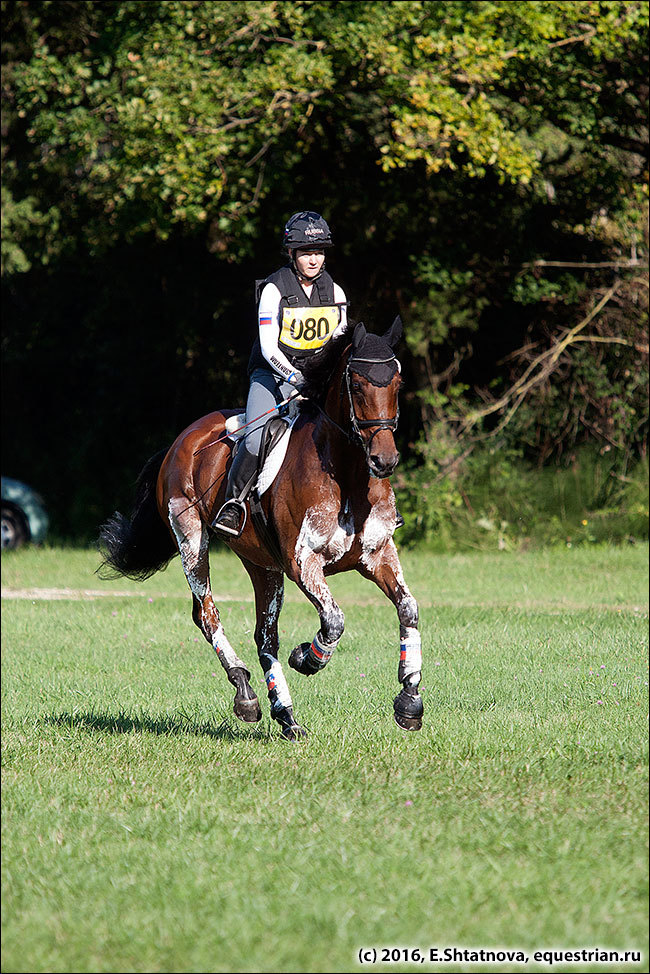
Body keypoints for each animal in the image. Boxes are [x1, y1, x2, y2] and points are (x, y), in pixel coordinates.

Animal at [96, 320, 420, 740]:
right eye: (357, 383)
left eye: (397, 382)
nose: (385, 460)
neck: (346, 475)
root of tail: (182, 439)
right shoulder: (303, 563)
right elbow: (334, 620)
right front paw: (307, 658)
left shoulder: (377, 556)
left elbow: (407, 609)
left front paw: (410, 701)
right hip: (192, 539)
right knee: (207, 614)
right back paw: (245, 692)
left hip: (262, 565)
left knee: (265, 635)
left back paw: (286, 715)